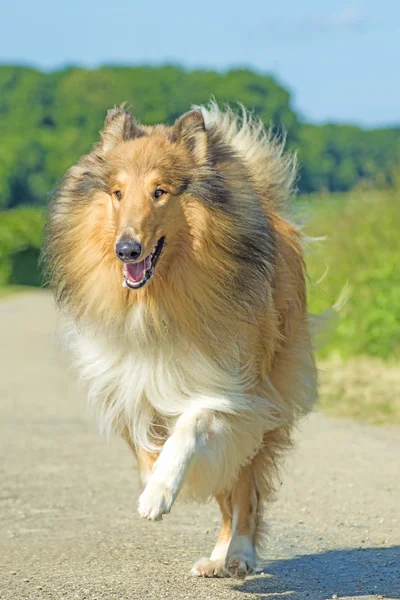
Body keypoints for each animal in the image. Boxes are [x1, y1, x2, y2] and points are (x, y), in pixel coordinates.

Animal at [44, 104, 316, 580]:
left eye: (160, 192)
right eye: (117, 193)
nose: (127, 250)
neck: (158, 303)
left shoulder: (235, 391)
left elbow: (190, 429)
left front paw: (160, 492)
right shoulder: (129, 384)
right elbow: (146, 449)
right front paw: (153, 480)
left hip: (268, 398)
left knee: (243, 489)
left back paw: (238, 553)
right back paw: (217, 557)